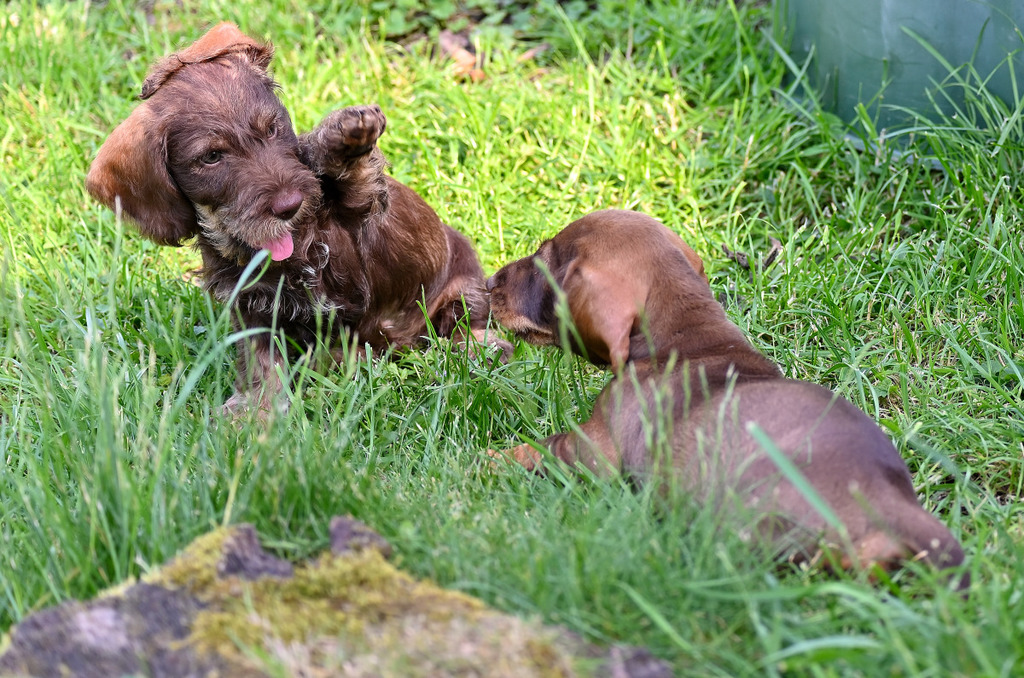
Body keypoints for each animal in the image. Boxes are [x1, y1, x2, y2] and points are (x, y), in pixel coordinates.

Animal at [87, 22, 505, 412]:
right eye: (211, 157)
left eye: (272, 128)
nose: (289, 205)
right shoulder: (253, 309)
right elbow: (261, 365)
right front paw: (257, 415)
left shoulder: (363, 209)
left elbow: (353, 178)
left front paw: (343, 136)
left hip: (463, 289)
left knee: (470, 326)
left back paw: (478, 351)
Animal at [487, 209, 966, 585]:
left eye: (543, 262)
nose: (490, 282)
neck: (687, 333)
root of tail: (891, 502)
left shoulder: (591, 446)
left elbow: (532, 449)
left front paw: (482, 461)